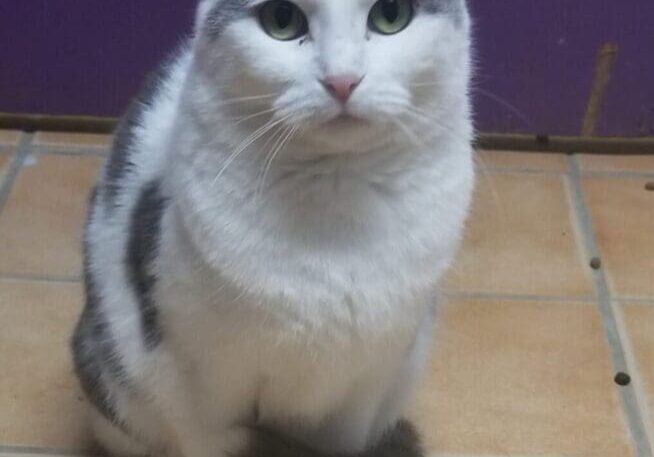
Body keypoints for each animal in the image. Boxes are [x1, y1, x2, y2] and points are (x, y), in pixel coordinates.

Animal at [72, 0, 476, 454]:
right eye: (281, 21)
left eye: (391, 16)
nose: (342, 81)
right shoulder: (195, 385)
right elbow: (206, 437)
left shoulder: (367, 386)